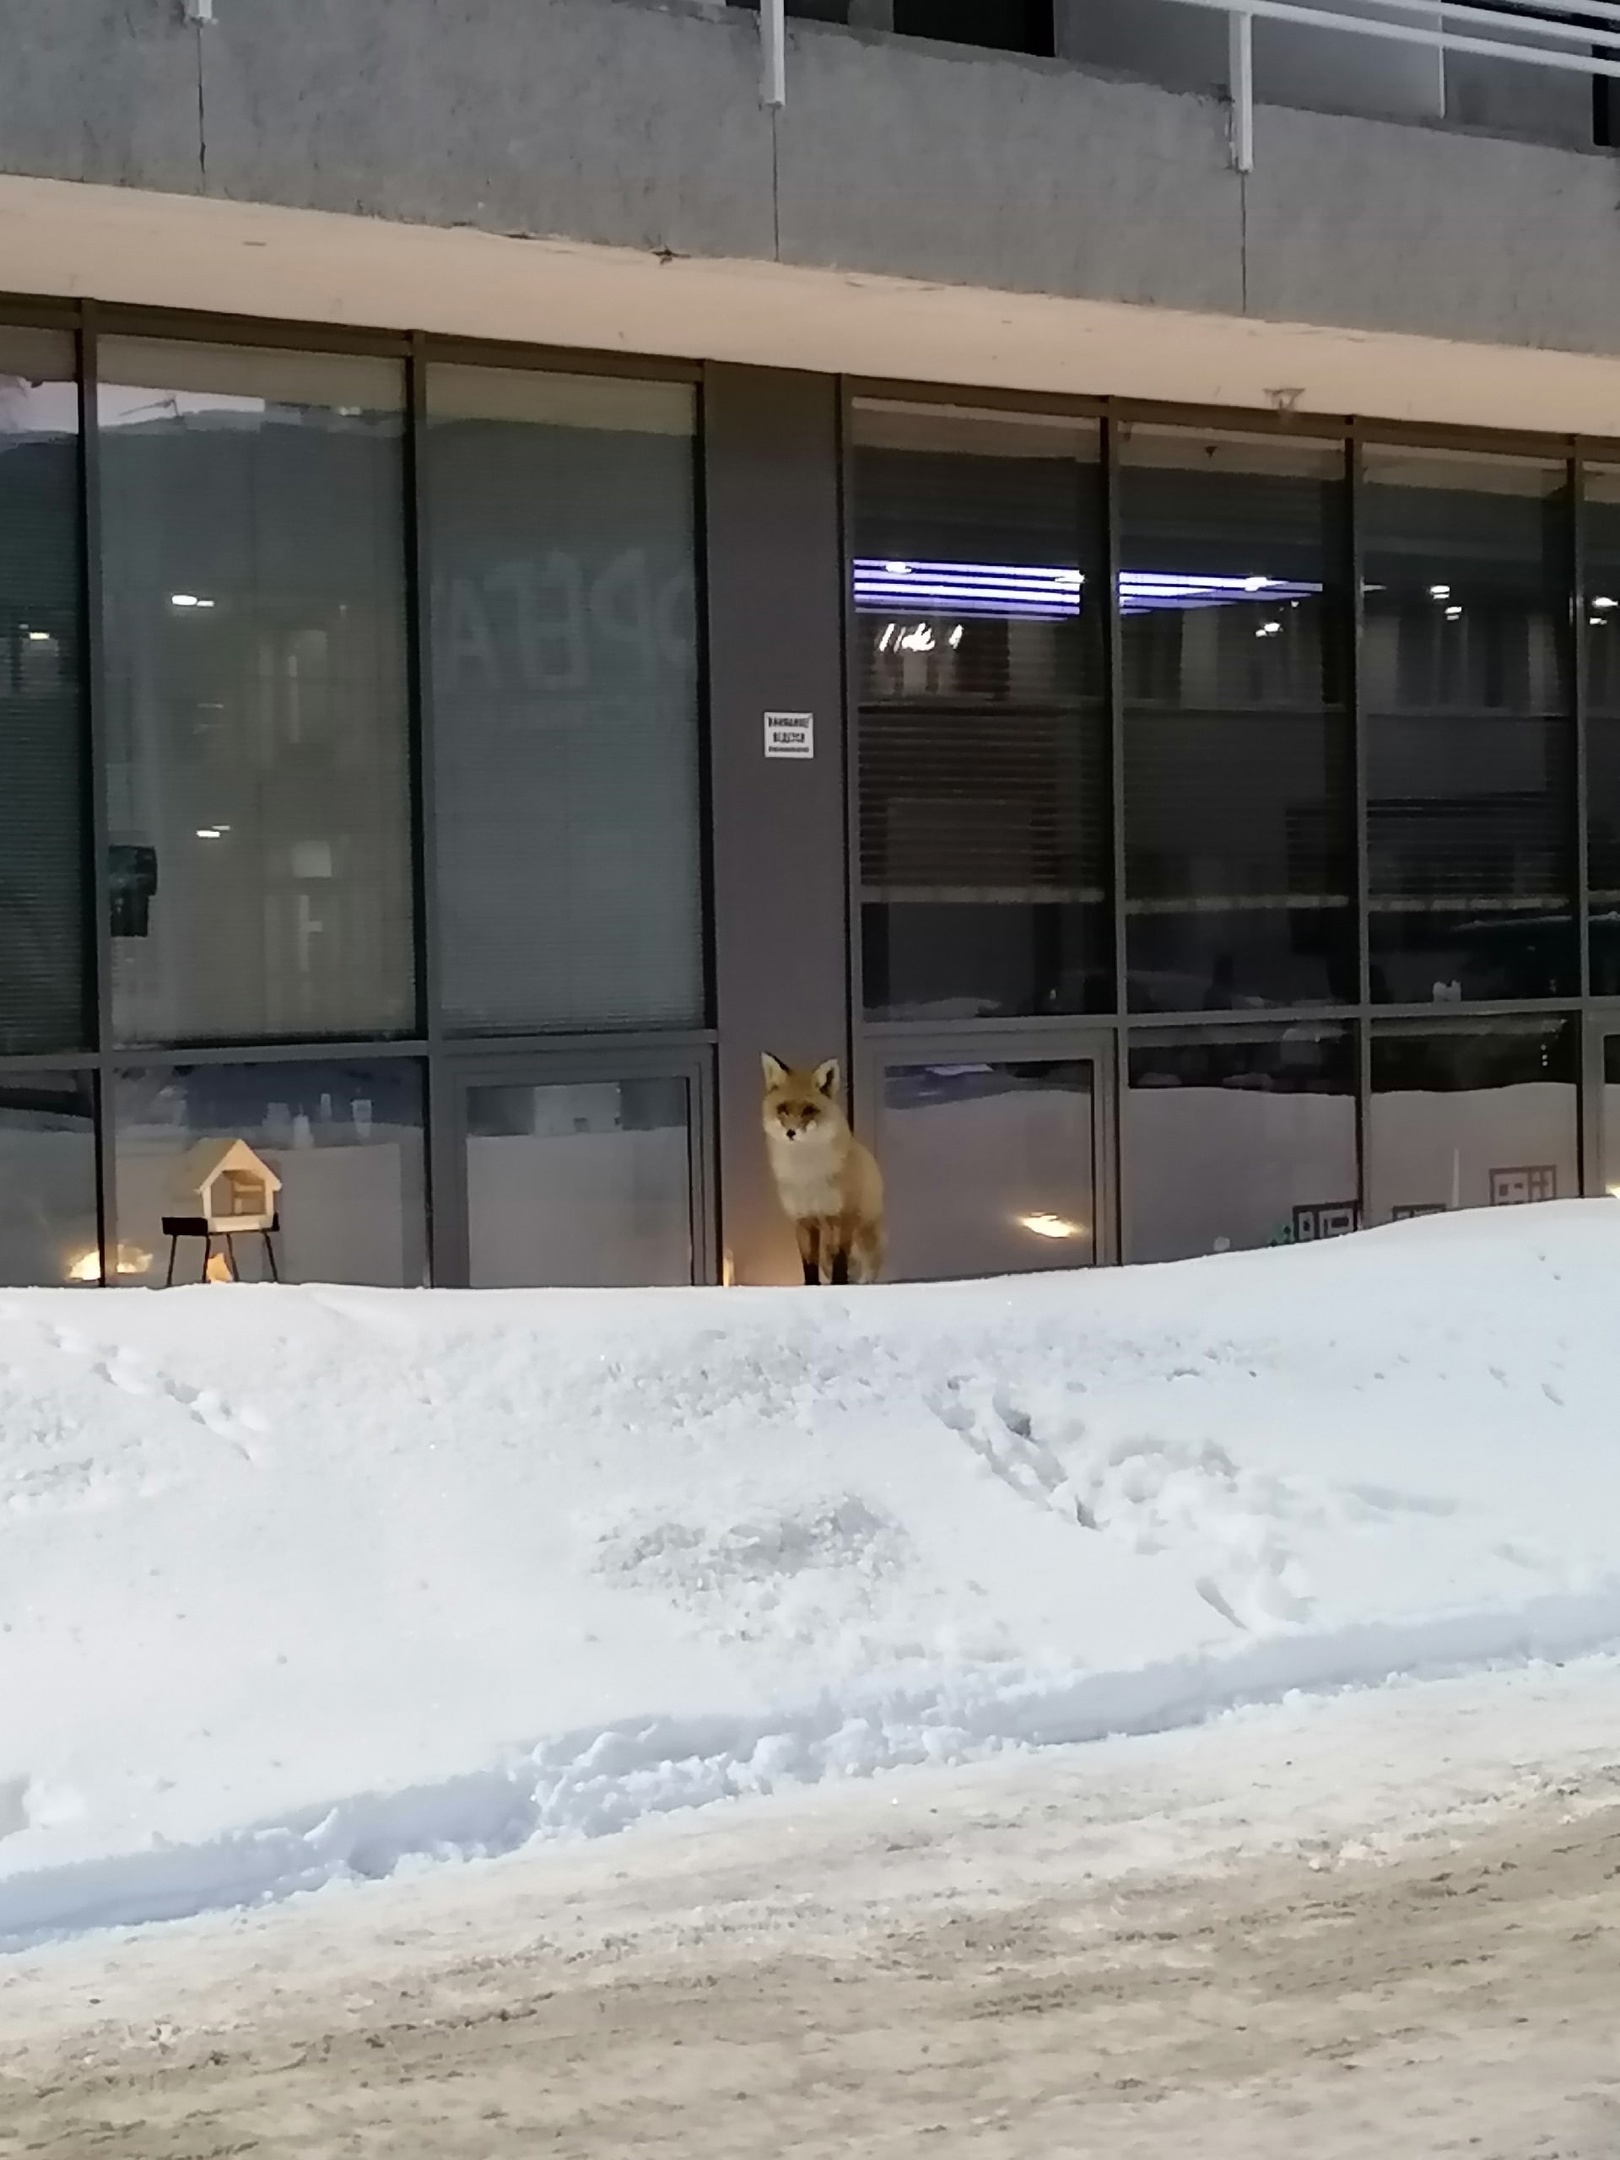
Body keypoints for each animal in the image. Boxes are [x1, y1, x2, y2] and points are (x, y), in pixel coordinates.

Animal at [760, 1049, 889, 1278]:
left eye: (808, 1110)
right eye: (783, 1109)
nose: (791, 1132)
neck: (806, 1176)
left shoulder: (841, 1216)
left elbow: (841, 1264)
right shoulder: (803, 1220)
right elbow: (809, 1266)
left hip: (866, 1241)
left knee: (867, 1274)